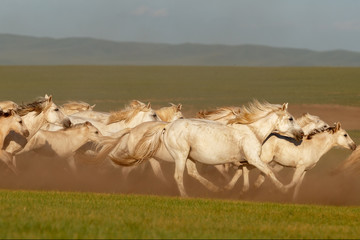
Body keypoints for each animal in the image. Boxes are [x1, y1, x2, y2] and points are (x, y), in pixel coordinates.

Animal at [108, 100, 302, 196]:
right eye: (291, 118)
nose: (301, 134)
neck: (251, 131)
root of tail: (166, 127)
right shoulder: (253, 158)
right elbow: (269, 171)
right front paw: (283, 189)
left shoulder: (244, 160)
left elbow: (244, 172)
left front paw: (238, 190)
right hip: (180, 156)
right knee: (178, 176)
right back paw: (186, 196)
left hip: (189, 157)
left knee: (193, 173)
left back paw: (214, 189)